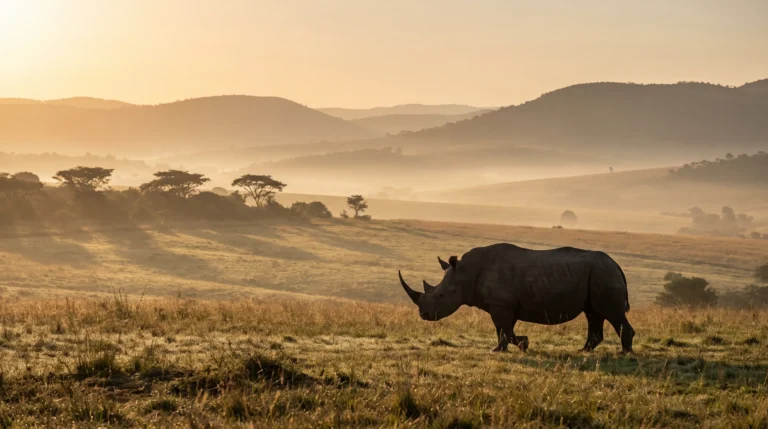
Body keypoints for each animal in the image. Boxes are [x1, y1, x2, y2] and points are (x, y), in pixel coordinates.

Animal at [399, 243, 634, 353]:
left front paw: (517, 345)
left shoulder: (501, 305)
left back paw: (624, 353)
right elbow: (504, 329)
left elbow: (504, 329)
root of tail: (616, 264)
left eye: (441, 295)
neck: (465, 273)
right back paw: (583, 351)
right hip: (598, 275)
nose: (423, 314)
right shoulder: (505, 305)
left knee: (610, 314)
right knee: (593, 313)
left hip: (603, 274)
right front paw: (509, 347)